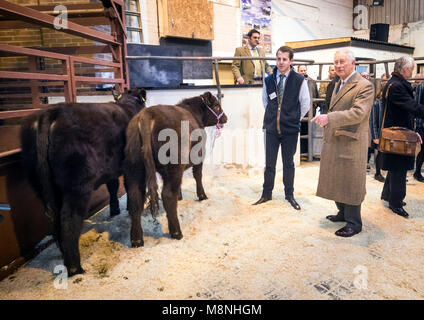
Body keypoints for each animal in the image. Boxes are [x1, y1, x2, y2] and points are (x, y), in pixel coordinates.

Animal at [19, 88, 146, 276]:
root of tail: (51, 112)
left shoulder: (112, 169)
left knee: (53, 217)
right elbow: (131, 191)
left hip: (42, 185)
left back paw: (63, 253)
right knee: (69, 218)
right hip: (77, 186)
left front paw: (115, 210)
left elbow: (113, 187)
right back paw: (75, 267)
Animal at [123, 91, 227, 246]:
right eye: (216, 105)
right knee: (167, 195)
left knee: (135, 198)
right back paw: (177, 232)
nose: (225, 118)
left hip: (134, 167)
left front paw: (180, 196)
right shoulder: (199, 156)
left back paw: (136, 239)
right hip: (172, 166)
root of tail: (147, 115)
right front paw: (202, 195)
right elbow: (198, 176)